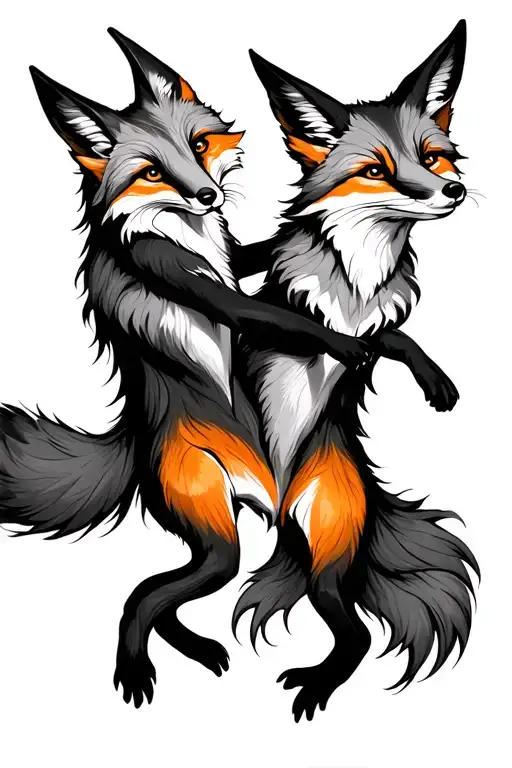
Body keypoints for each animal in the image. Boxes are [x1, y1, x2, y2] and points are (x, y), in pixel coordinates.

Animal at [0, 29, 375, 708]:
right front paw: (360, 346)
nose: (208, 196)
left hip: (316, 533)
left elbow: (258, 254)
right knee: (147, 597)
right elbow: (266, 314)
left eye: (198, 146)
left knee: (336, 624)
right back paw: (138, 664)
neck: (183, 232)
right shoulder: (182, 276)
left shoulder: (230, 254)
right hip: (210, 522)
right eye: (152, 172)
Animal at [232, 19, 480, 721]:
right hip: (318, 555)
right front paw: (344, 347)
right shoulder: (275, 308)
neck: (359, 281)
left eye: (434, 157)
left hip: (328, 547)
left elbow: (393, 336)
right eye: (375, 171)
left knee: (360, 636)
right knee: (354, 631)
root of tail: (281, 501)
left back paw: (319, 682)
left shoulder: (384, 313)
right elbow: (306, 326)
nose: (452, 191)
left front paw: (428, 375)